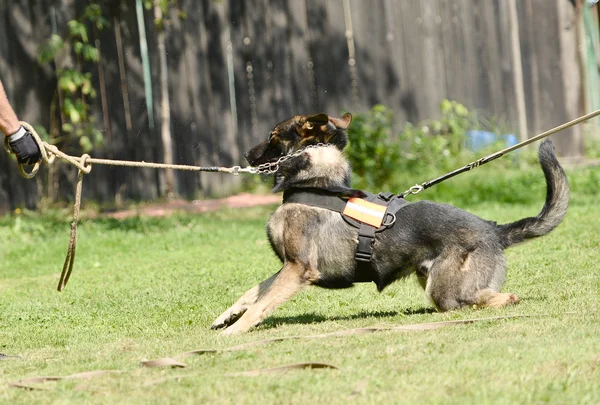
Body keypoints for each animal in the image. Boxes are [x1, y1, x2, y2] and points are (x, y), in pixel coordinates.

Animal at [211, 112, 568, 332]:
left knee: (483, 300)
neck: (315, 183)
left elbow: (261, 305)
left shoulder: (298, 269)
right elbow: (254, 293)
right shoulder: (286, 266)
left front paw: (234, 333)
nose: (246, 156)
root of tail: (493, 229)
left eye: (273, 137)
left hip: (444, 289)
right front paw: (225, 317)